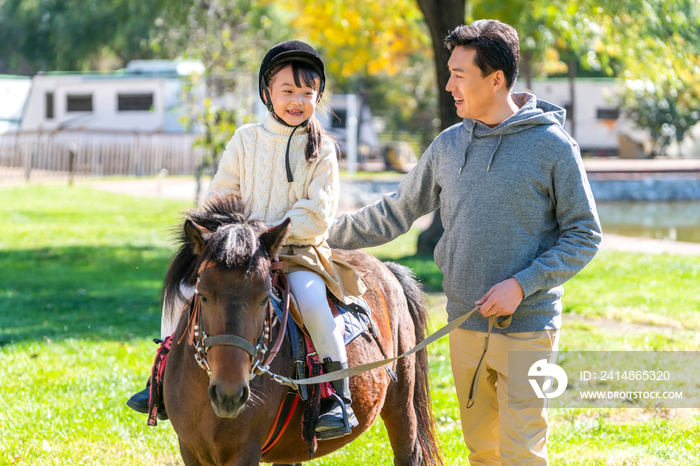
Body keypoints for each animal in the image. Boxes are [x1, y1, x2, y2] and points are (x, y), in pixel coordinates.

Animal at [161, 195, 440, 464]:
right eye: (203, 296)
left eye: (264, 298)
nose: (229, 393)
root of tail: (386, 268)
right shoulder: (190, 450)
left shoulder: (244, 451)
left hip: (400, 403)